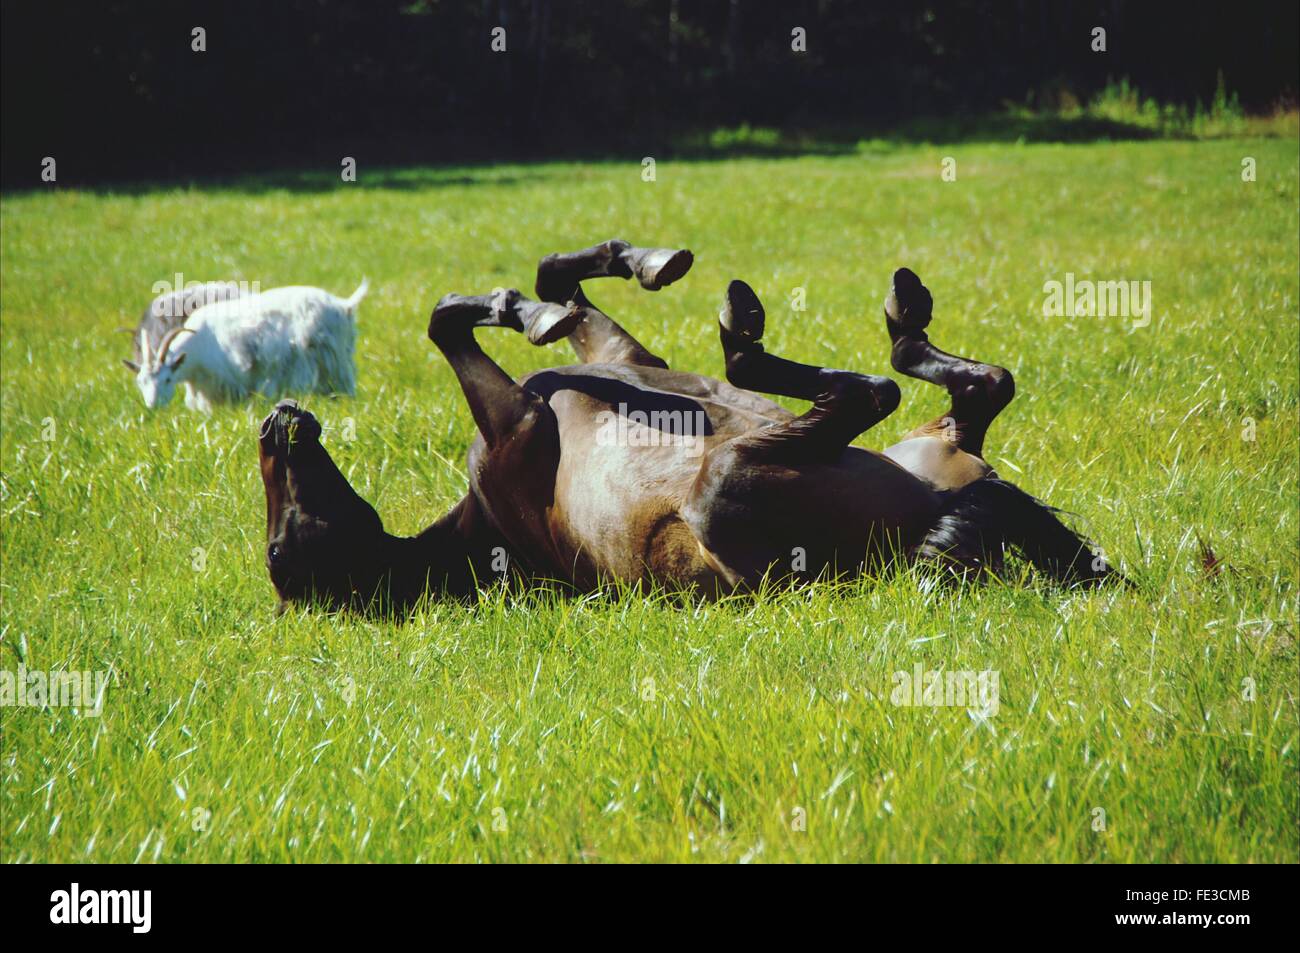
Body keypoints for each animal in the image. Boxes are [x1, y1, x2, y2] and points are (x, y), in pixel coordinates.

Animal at [258, 239, 1124, 612]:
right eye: (279, 551)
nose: (276, 422)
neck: (487, 529)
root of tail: (938, 519)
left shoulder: (621, 353)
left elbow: (555, 284)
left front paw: (631, 264)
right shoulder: (521, 421)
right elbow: (451, 320)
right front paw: (526, 311)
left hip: (924, 446)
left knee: (978, 386)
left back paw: (881, 315)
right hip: (728, 486)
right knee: (870, 391)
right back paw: (756, 337)